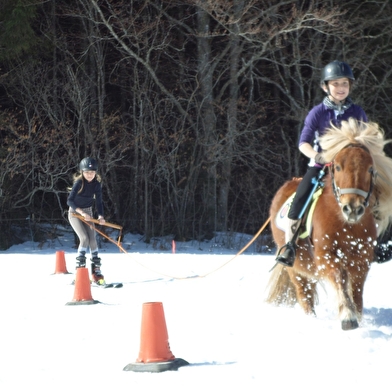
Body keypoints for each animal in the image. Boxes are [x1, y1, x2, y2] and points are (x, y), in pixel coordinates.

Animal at [266, 119, 392, 330]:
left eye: (370, 169)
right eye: (338, 167)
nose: (352, 208)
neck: (345, 223)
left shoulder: (361, 260)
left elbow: (356, 292)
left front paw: (357, 317)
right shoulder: (326, 256)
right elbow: (339, 279)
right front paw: (348, 317)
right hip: (296, 269)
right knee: (305, 296)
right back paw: (311, 320)